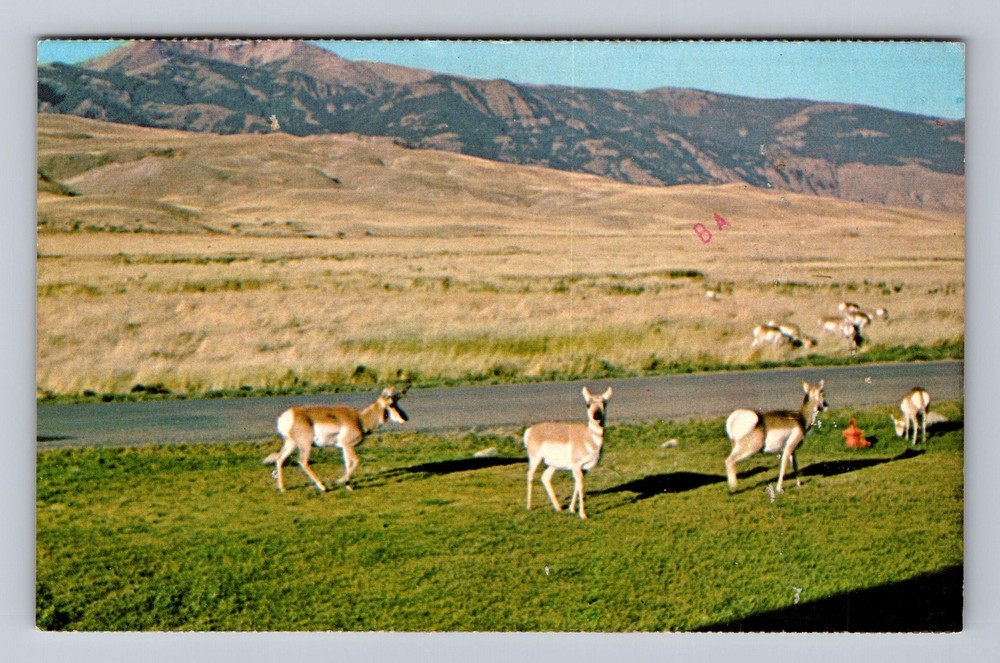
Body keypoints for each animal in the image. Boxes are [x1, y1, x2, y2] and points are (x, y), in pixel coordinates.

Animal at [264, 386, 409, 492]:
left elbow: (348, 464)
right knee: (302, 462)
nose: (405, 419)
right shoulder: (348, 445)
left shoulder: (344, 447)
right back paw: (323, 486)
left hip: (291, 443)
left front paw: (348, 486)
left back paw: (282, 488)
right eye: (391, 404)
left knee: (280, 459)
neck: (360, 419)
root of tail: (288, 415)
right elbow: (356, 461)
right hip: (305, 444)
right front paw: (339, 481)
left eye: (397, 402)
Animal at [524, 386, 612, 520]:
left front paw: (571, 509)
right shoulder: (576, 465)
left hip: (553, 465)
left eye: (604, 403)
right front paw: (583, 515)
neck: (587, 437)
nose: (596, 415)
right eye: (587, 404)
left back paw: (558, 507)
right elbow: (581, 486)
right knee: (530, 475)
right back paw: (529, 506)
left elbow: (577, 485)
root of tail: (530, 430)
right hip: (535, 458)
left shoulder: (584, 469)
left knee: (545, 477)